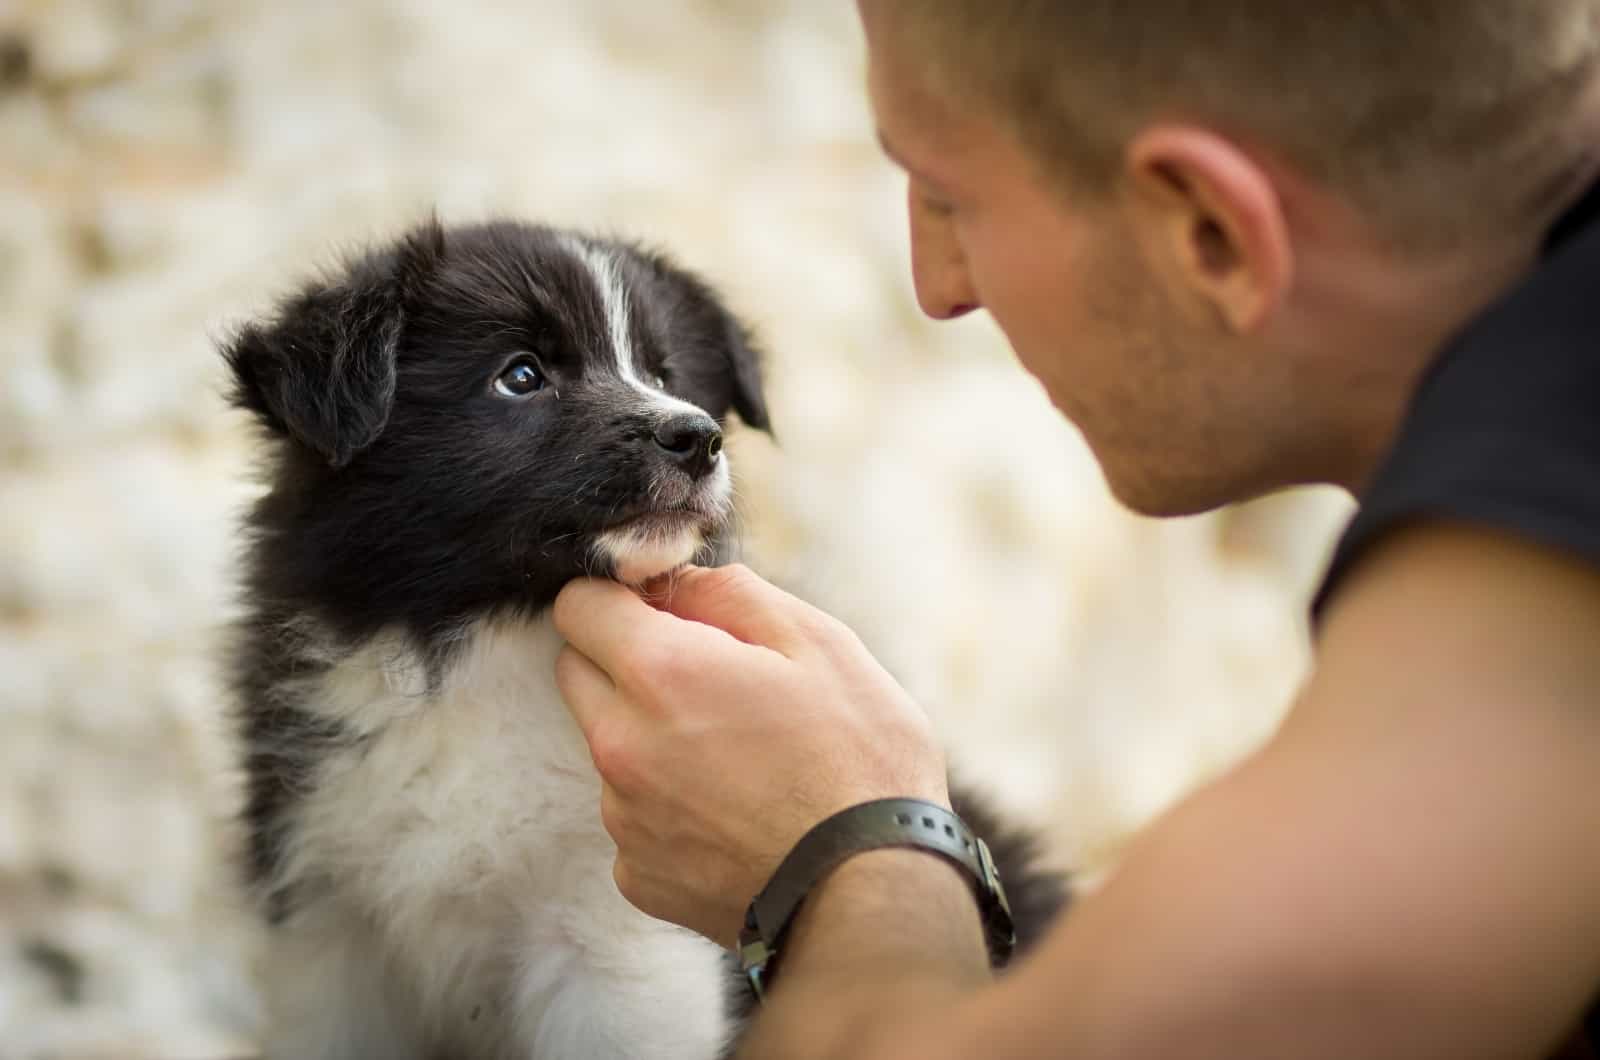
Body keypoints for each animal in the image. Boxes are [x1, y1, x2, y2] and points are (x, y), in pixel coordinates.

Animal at [216, 217, 1062, 1060]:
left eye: (664, 371)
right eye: (520, 375)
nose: (698, 436)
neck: (495, 645)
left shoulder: (623, 948)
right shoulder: (328, 920)